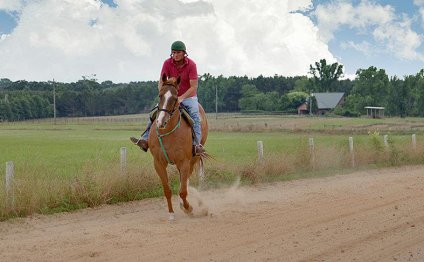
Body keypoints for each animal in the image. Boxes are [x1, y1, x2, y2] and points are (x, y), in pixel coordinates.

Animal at [149, 74, 209, 221]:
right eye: (160, 95)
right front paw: (171, 213)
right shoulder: (158, 163)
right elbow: (167, 189)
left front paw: (189, 208)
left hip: (194, 158)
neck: (168, 134)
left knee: (186, 181)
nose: (161, 122)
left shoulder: (184, 162)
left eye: (175, 98)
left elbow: (183, 191)